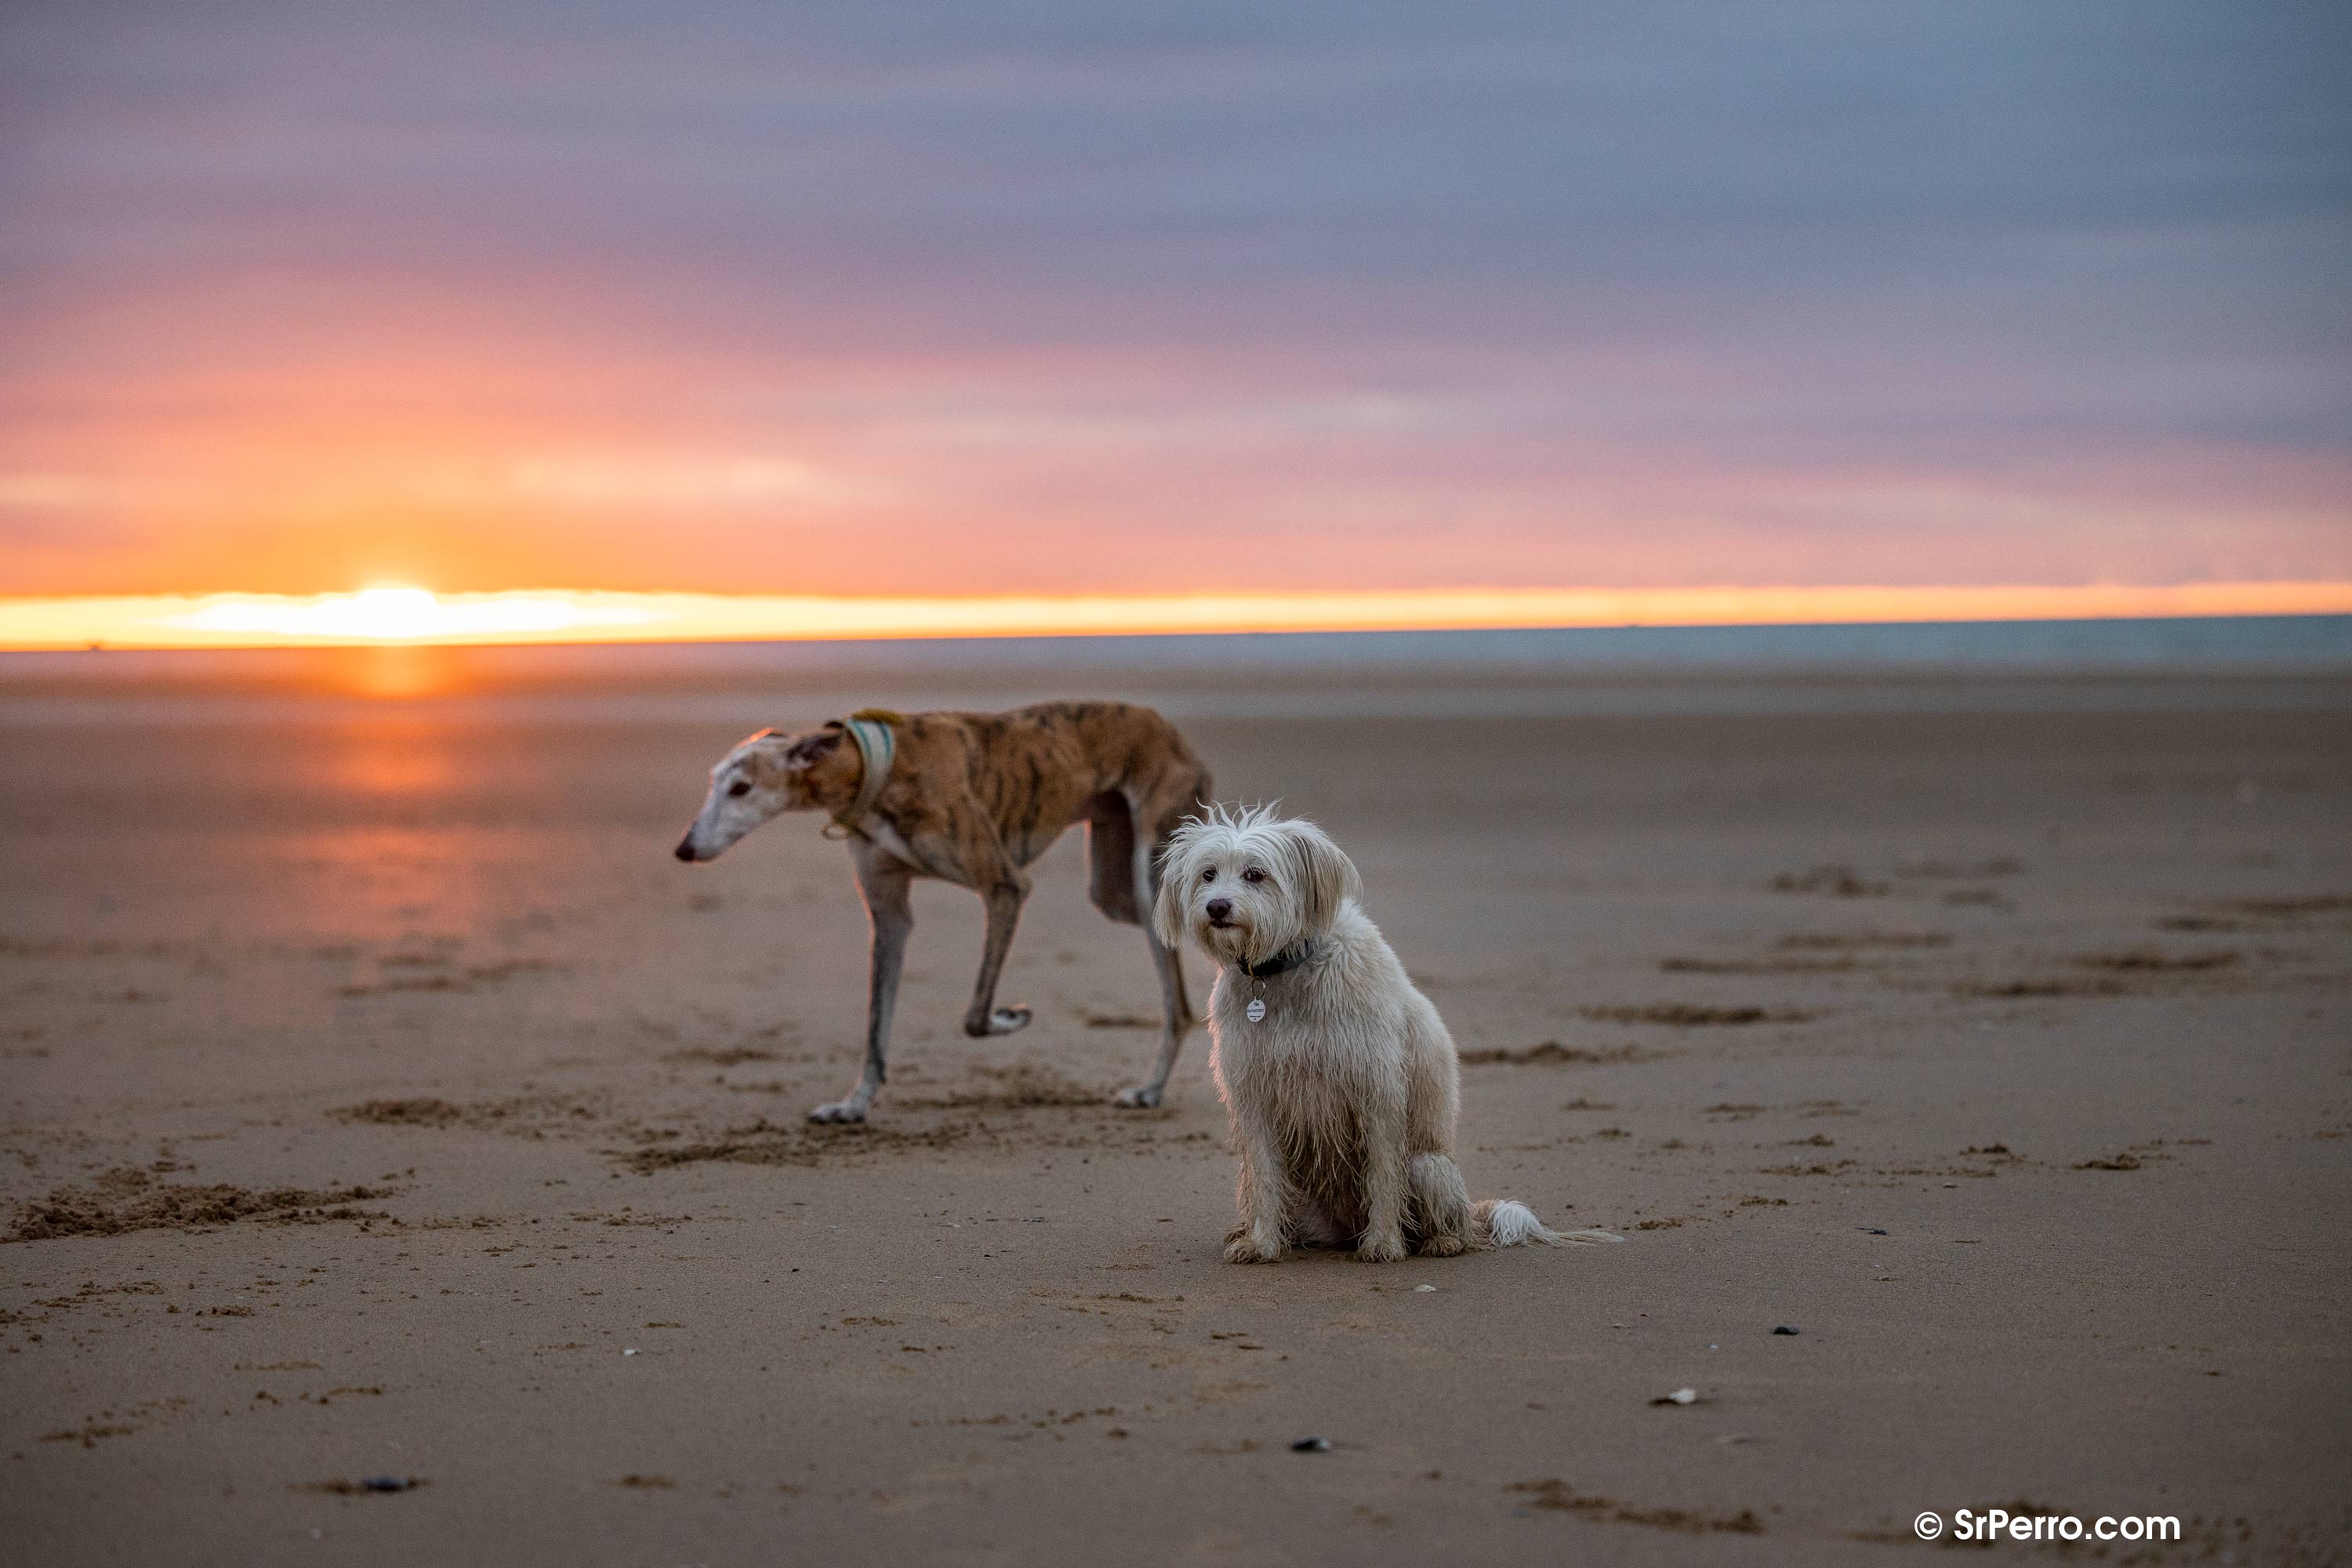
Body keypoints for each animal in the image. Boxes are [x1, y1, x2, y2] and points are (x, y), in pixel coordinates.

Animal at [1157, 808, 1618, 1260]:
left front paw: (1382, 1244)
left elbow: (1381, 1176)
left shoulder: (1377, 1091)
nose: (1217, 907)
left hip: (1429, 1167)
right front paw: (1262, 1243)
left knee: (1451, 1223)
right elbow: (1265, 1177)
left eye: (1255, 874)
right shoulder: (1254, 1095)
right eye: (1208, 874)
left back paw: (1439, 1241)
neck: (1282, 974)